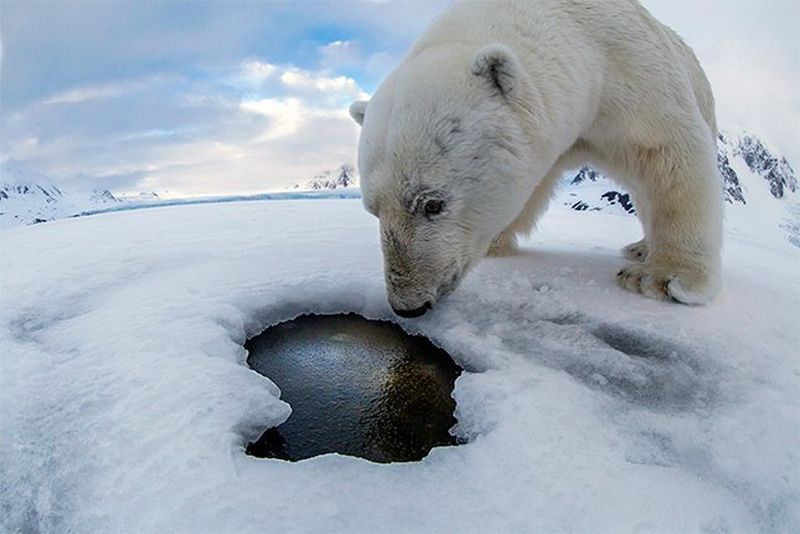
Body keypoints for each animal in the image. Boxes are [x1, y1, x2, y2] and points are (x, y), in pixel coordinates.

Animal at [349, 0, 722, 318]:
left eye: (432, 203)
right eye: (372, 209)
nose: (408, 305)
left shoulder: (631, 72)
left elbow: (668, 154)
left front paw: (661, 278)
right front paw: (497, 241)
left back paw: (642, 250)